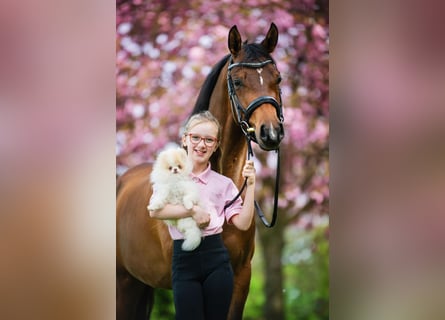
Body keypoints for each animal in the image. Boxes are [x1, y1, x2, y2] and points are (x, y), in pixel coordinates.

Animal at [117, 23, 284, 320]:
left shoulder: (241, 277)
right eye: (238, 81)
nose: (271, 133)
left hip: (139, 283)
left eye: (277, 78)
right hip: (123, 283)